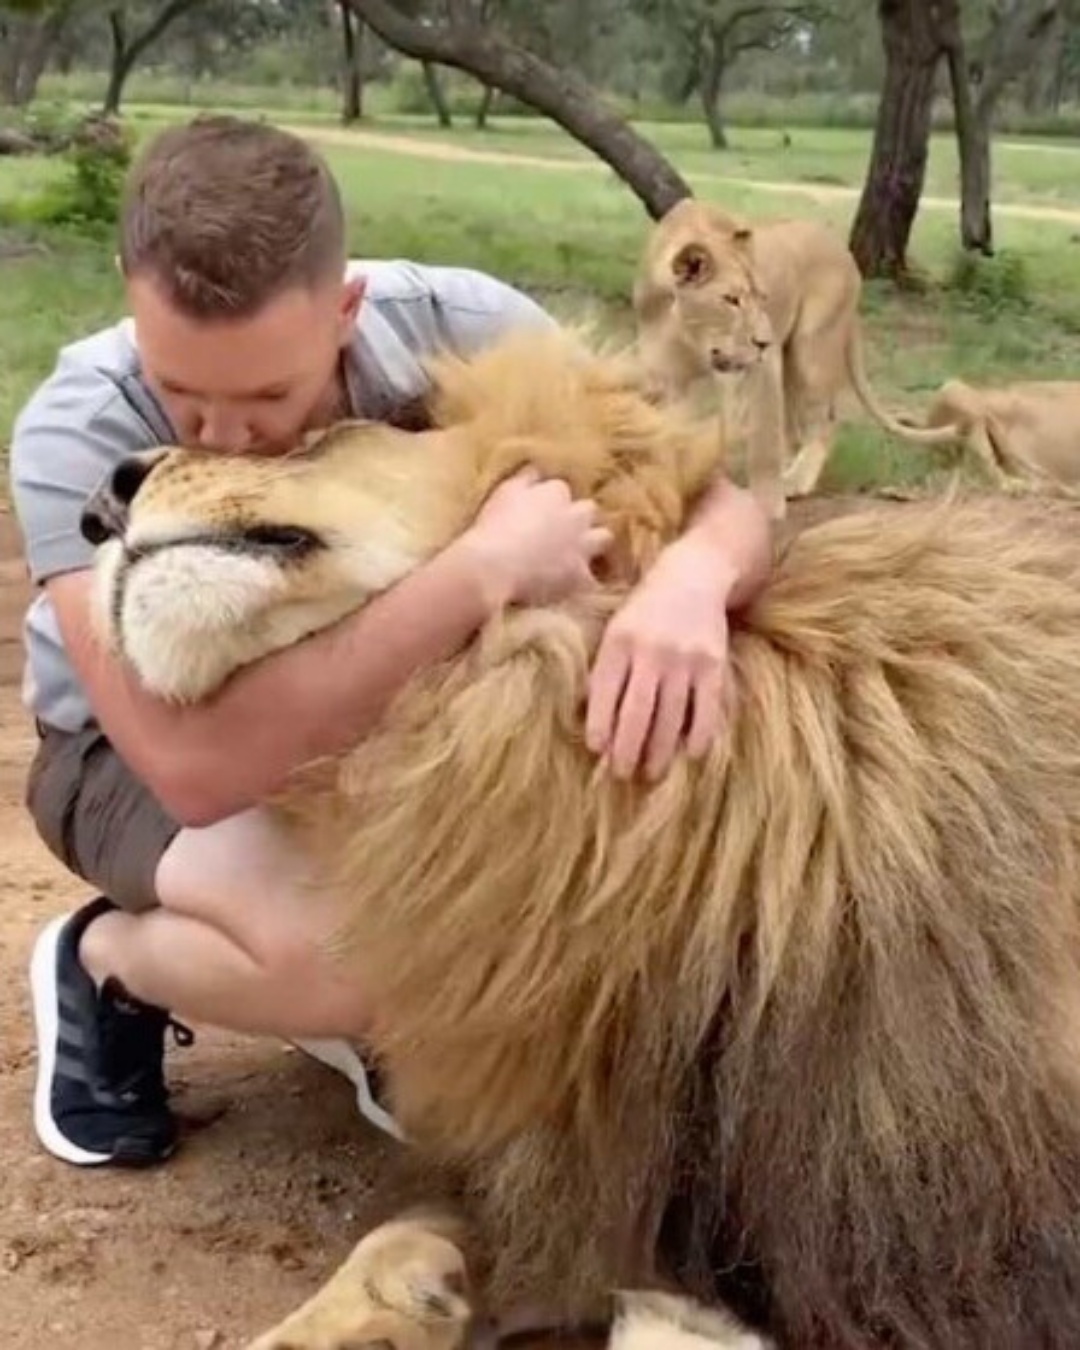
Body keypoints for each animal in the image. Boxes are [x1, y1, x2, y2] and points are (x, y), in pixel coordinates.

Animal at [632, 197, 958, 519]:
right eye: (732, 300)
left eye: (762, 298)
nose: (764, 341)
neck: (688, 332)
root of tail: (845, 253)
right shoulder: (666, 378)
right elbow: (665, 437)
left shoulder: (762, 369)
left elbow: (763, 443)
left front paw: (766, 508)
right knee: (792, 429)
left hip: (810, 352)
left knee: (824, 420)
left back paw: (795, 481)